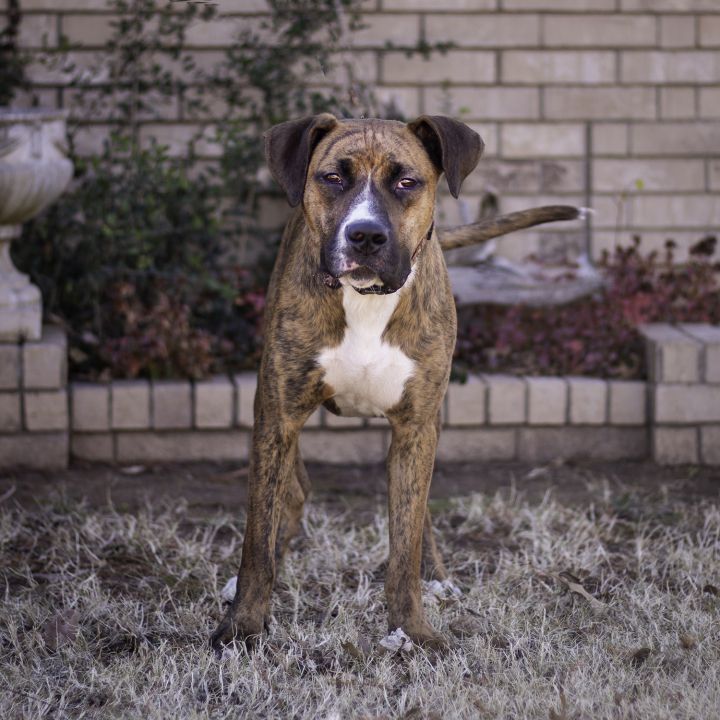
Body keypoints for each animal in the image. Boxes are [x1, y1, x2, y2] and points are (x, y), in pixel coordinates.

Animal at [211, 114, 576, 652]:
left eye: (407, 182)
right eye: (332, 178)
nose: (365, 235)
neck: (366, 301)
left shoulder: (415, 427)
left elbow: (405, 543)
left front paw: (414, 630)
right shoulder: (277, 414)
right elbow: (257, 537)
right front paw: (243, 625)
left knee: (417, 511)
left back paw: (437, 575)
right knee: (293, 492)